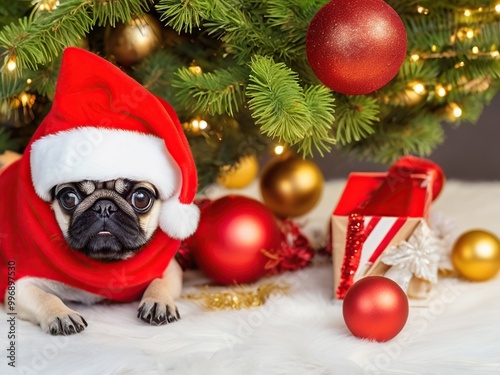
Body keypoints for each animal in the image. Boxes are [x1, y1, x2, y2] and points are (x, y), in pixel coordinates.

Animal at [14, 178, 184, 336]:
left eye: (141, 198)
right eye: (69, 198)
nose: (104, 206)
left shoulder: (171, 269)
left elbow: (159, 282)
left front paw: (158, 302)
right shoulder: (20, 285)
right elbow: (44, 296)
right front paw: (61, 314)